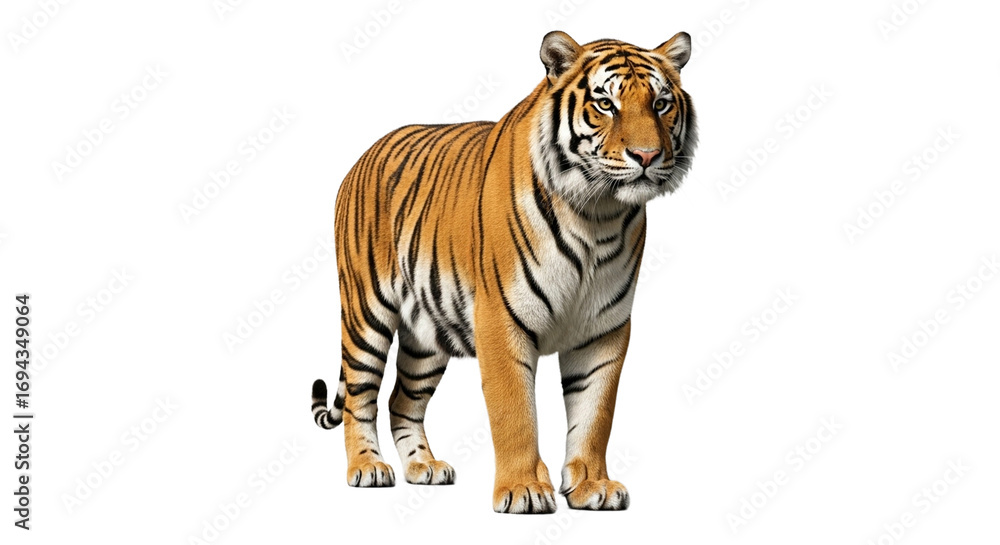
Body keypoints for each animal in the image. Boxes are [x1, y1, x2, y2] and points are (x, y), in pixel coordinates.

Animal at [310, 30, 697, 514]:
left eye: (661, 103)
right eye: (606, 104)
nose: (646, 156)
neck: (598, 214)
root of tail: (363, 155)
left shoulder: (604, 329)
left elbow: (595, 413)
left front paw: (593, 486)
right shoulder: (501, 319)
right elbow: (515, 412)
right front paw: (524, 490)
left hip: (426, 338)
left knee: (403, 400)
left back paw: (424, 467)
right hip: (366, 314)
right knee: (360, 397)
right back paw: (367, 467)